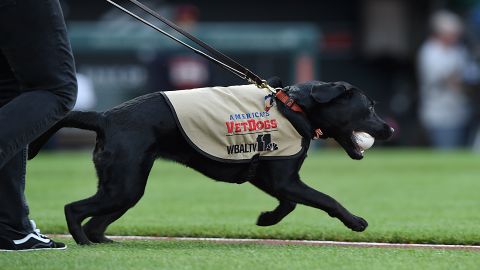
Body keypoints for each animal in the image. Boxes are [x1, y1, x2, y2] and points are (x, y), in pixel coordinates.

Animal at [28, 78, 392, 245]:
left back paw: (101, 241)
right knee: (73, 209)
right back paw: (83, 242)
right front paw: (355, 221)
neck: (293, 108)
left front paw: (266, 219)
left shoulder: (271, 177)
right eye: (369, 108)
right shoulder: (285, 178)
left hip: (125, 186)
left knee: (95, 219)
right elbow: (326, 199)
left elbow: (288, 204)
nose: (389, 129)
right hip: (124, 184)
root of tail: (104, 116)